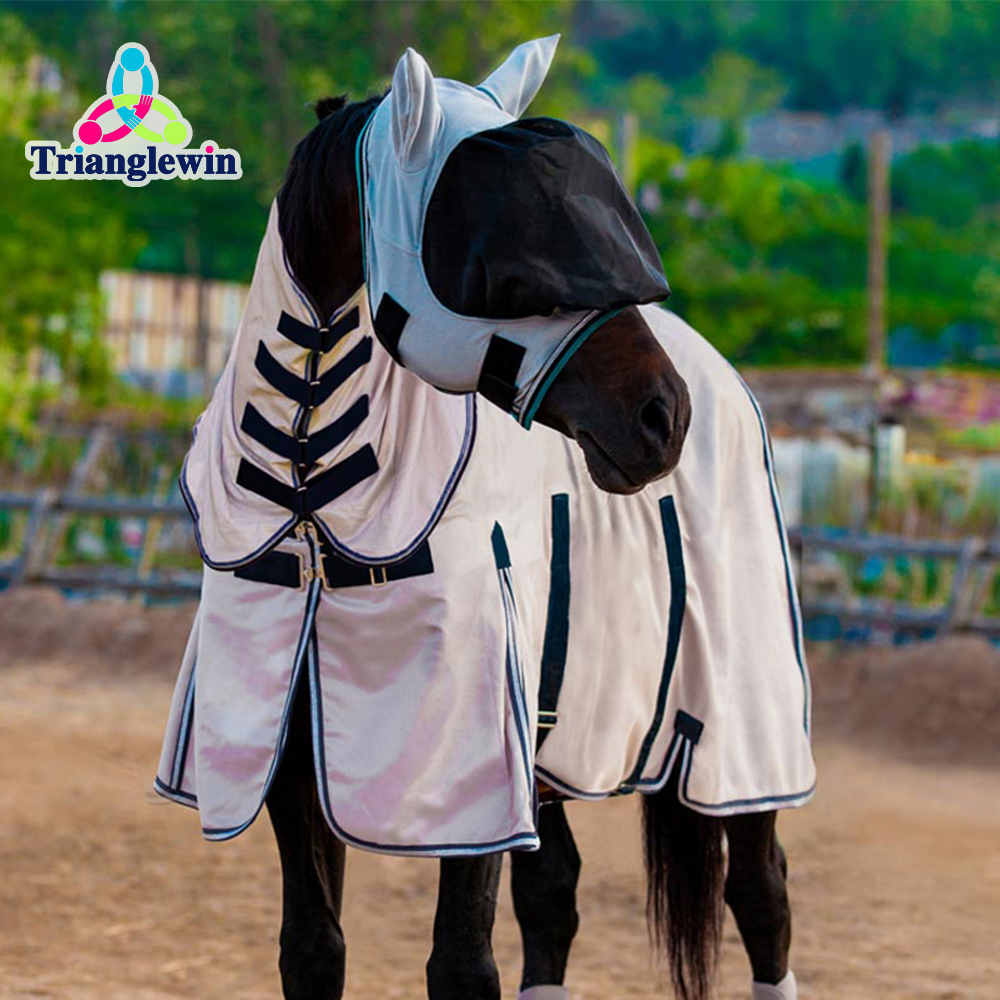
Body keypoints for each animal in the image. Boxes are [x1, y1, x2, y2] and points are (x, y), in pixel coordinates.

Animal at [156, 37, 811, 1000]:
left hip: (738, 732)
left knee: (761, 895)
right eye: (509, 263)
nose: (663, 417)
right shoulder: (289, 762)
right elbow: (312, 949)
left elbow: (462, 963)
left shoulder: (472, 776)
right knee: (555, 895)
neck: (316, 511)